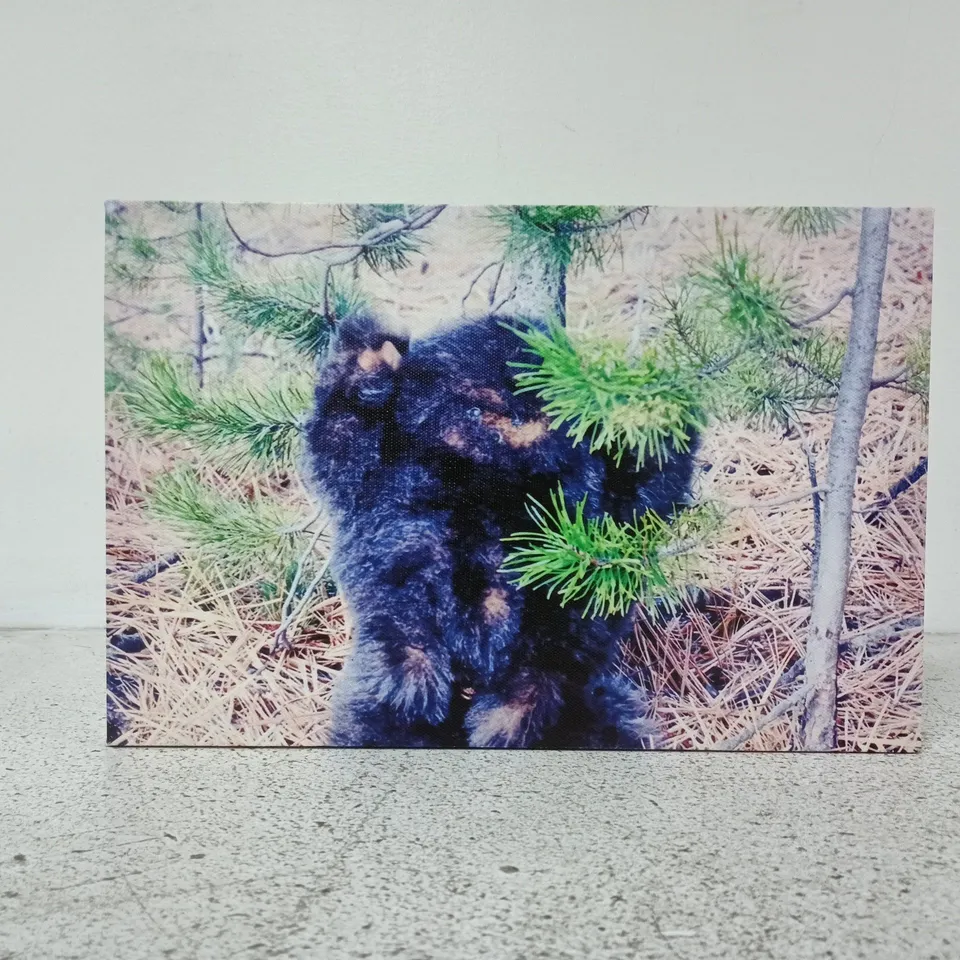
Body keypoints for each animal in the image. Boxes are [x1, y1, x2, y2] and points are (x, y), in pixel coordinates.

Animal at [302, 313, 699, 748]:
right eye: (476, 408)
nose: (520, 423)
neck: (488, 479)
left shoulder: (612, 506)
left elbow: (646, 495)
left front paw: (648, 415)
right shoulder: (373, 474)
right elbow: (338, 438)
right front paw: (372, 357)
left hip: (571, 690)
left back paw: (507, 720)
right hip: (393, 674)